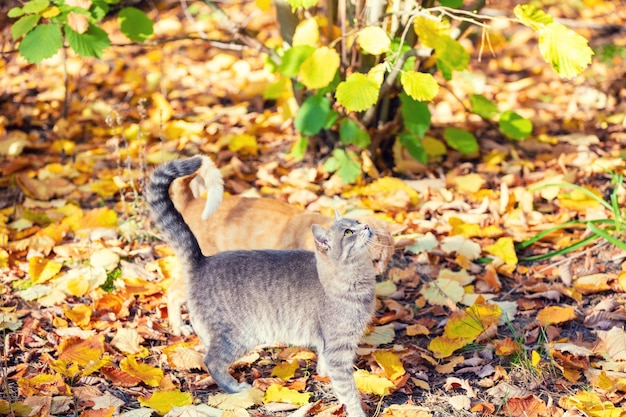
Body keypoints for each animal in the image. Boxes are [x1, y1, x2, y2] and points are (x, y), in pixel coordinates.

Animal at [146, 157, 376, 416]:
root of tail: (202, 261)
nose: (366, 227)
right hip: (237, 336)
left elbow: (326, 365)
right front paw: (357, 410)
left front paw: (323, 374)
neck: (356, 277)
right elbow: (348, 389)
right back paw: (235, 388)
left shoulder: (331, 344)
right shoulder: (339, 346)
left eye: (357, 222)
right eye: (348, 232)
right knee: (211, 361)